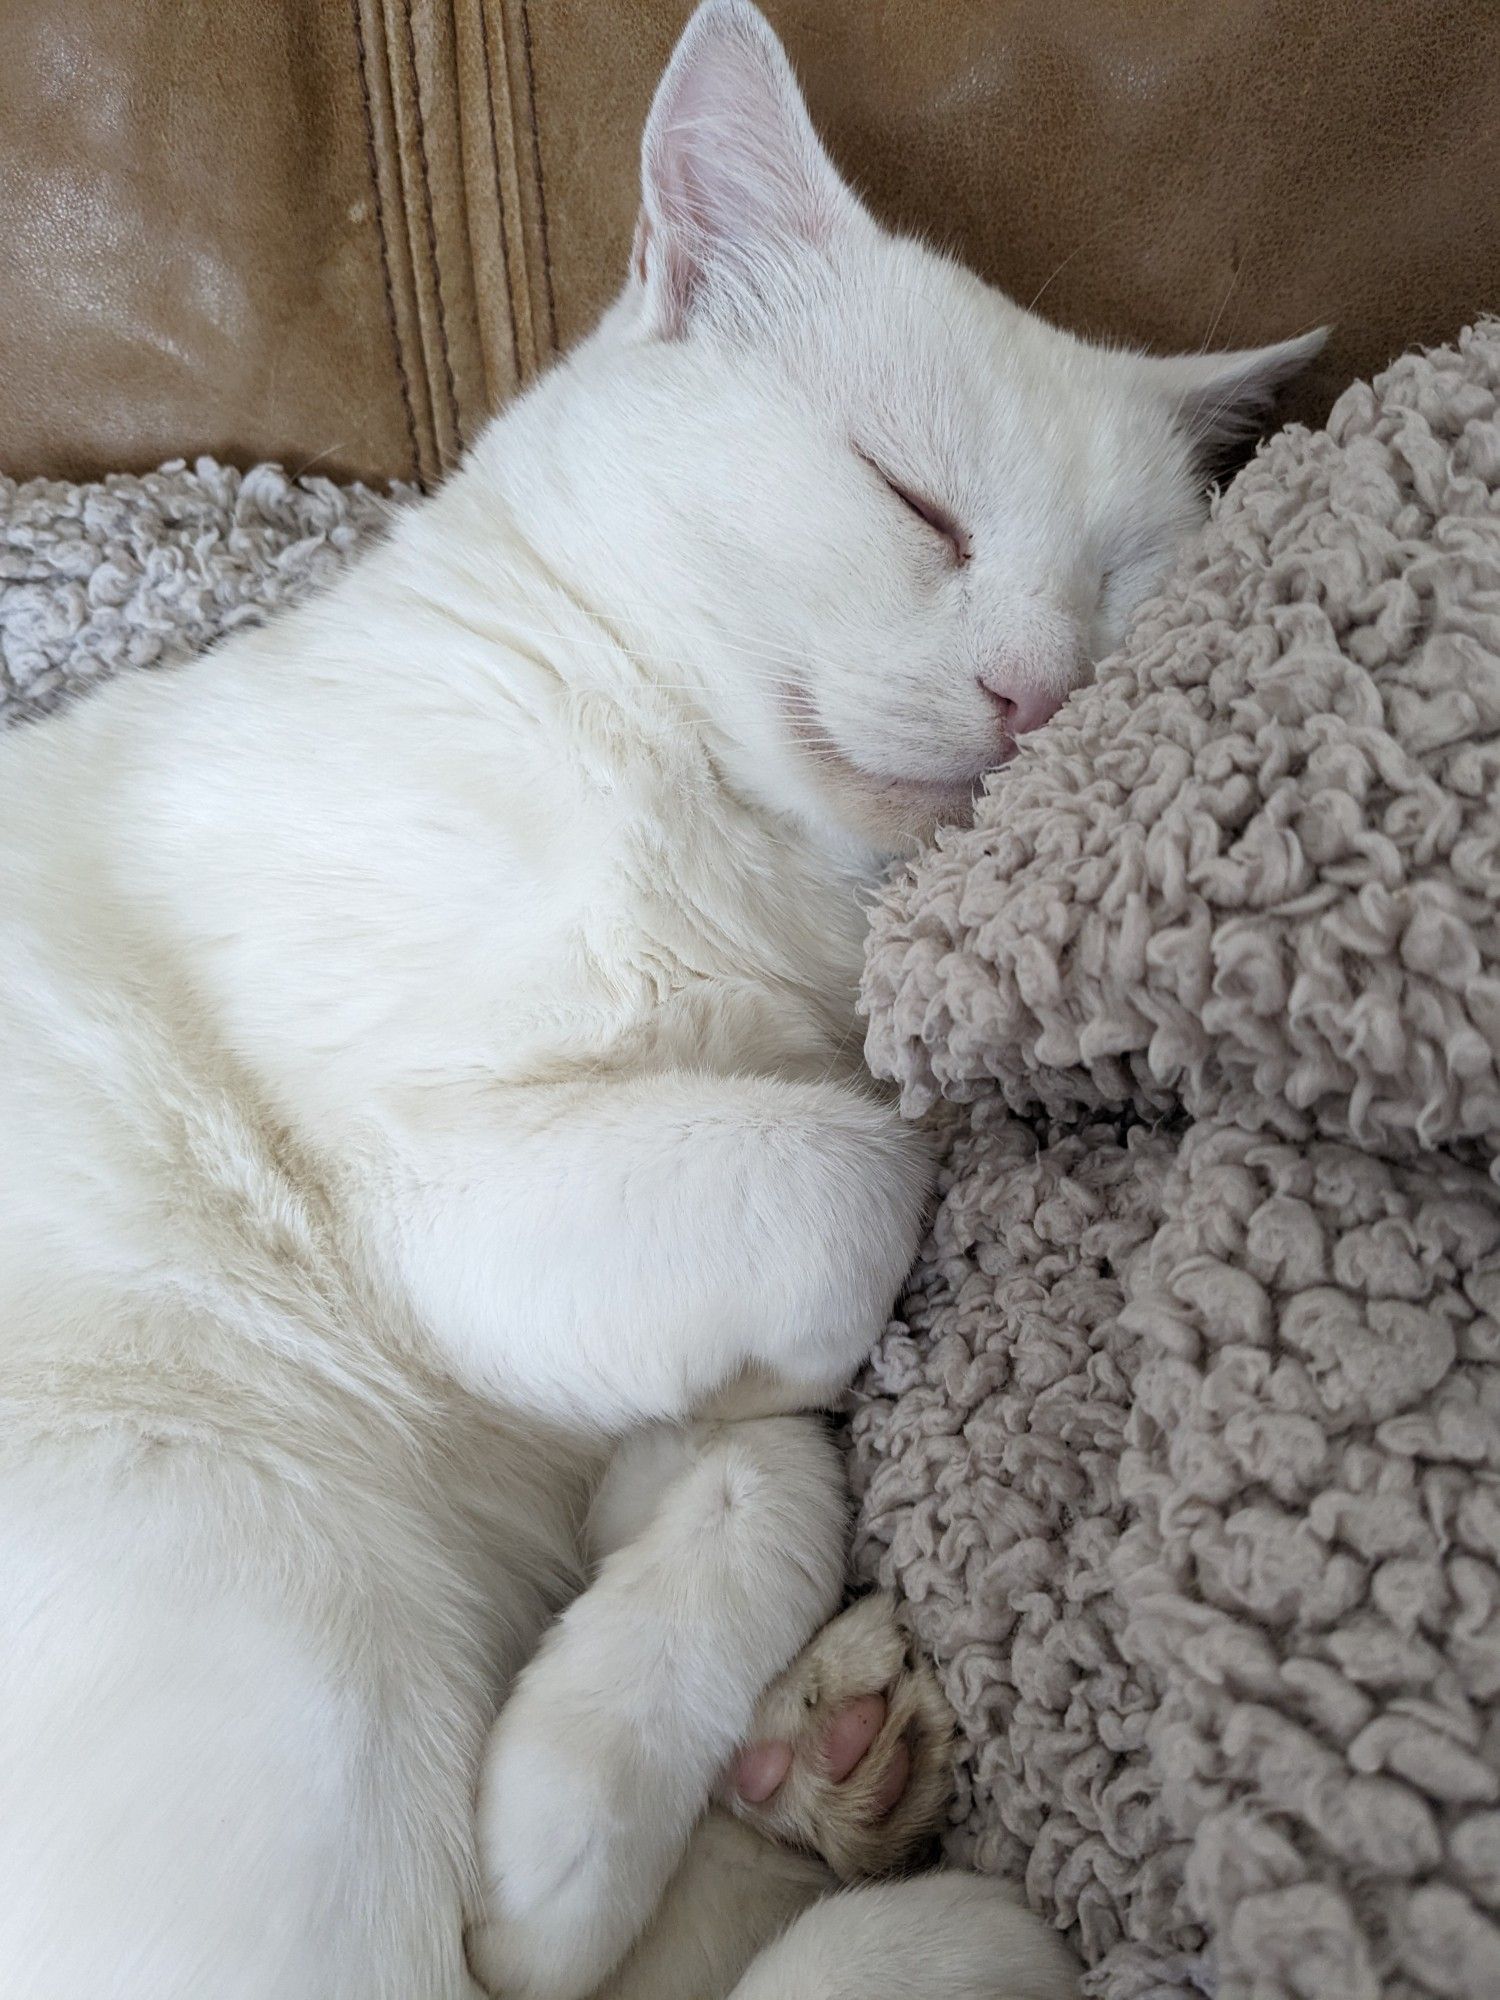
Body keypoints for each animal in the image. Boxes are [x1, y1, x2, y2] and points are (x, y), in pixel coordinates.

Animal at [0, 3, 1312, 2000]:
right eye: (915, 505)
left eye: (1118, 597)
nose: (1033, 691)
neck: (760, 881)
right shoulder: (434, 1177)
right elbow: (853, 1177)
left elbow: (766, 1472)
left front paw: (584, 1794)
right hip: (264, 1600)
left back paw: (851, 1801)